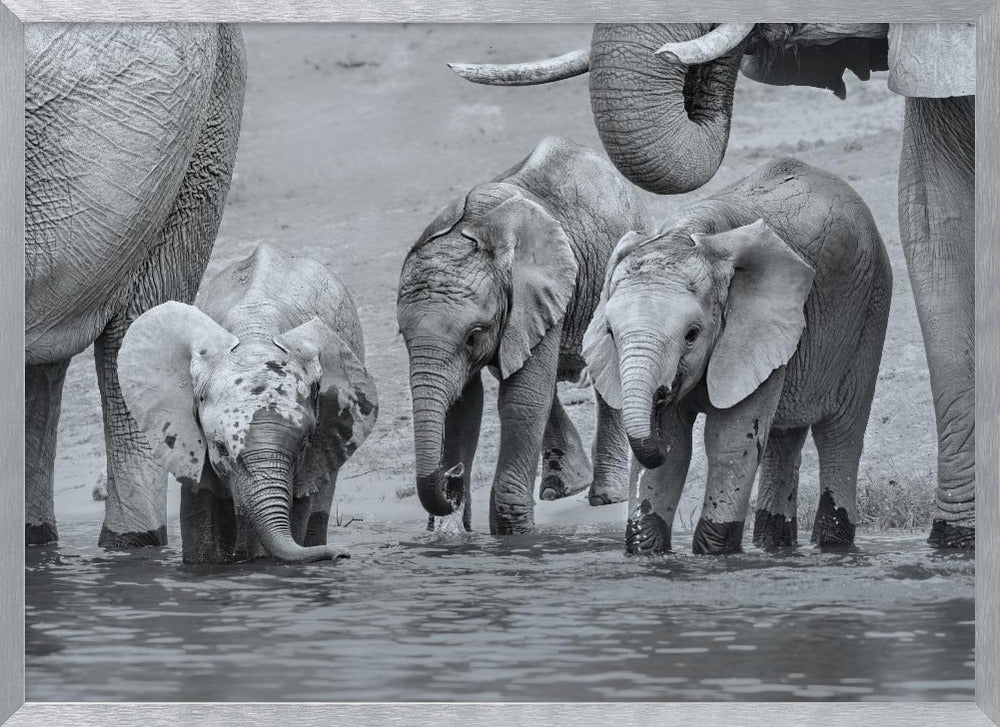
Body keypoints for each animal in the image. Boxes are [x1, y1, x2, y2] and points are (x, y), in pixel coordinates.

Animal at [397, 136, 649, 534]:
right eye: (402, 336)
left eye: (473, 335)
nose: (452, 476)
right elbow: (465, 404)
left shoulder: (536, 293)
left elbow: (521, 400)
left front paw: (513, 534)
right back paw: (562, 487)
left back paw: (606, 496)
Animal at [582, 158, 892, 555]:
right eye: (610, 333)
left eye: (692, 335)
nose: (660, 398)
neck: (689, 236)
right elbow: (676, 450)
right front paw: (648, 552)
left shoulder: (755, 328)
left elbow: (729, 440)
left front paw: (715, 554)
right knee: (783, 438)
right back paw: (775, 548)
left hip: (871, 306)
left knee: (840, 433)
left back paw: (832, 547)